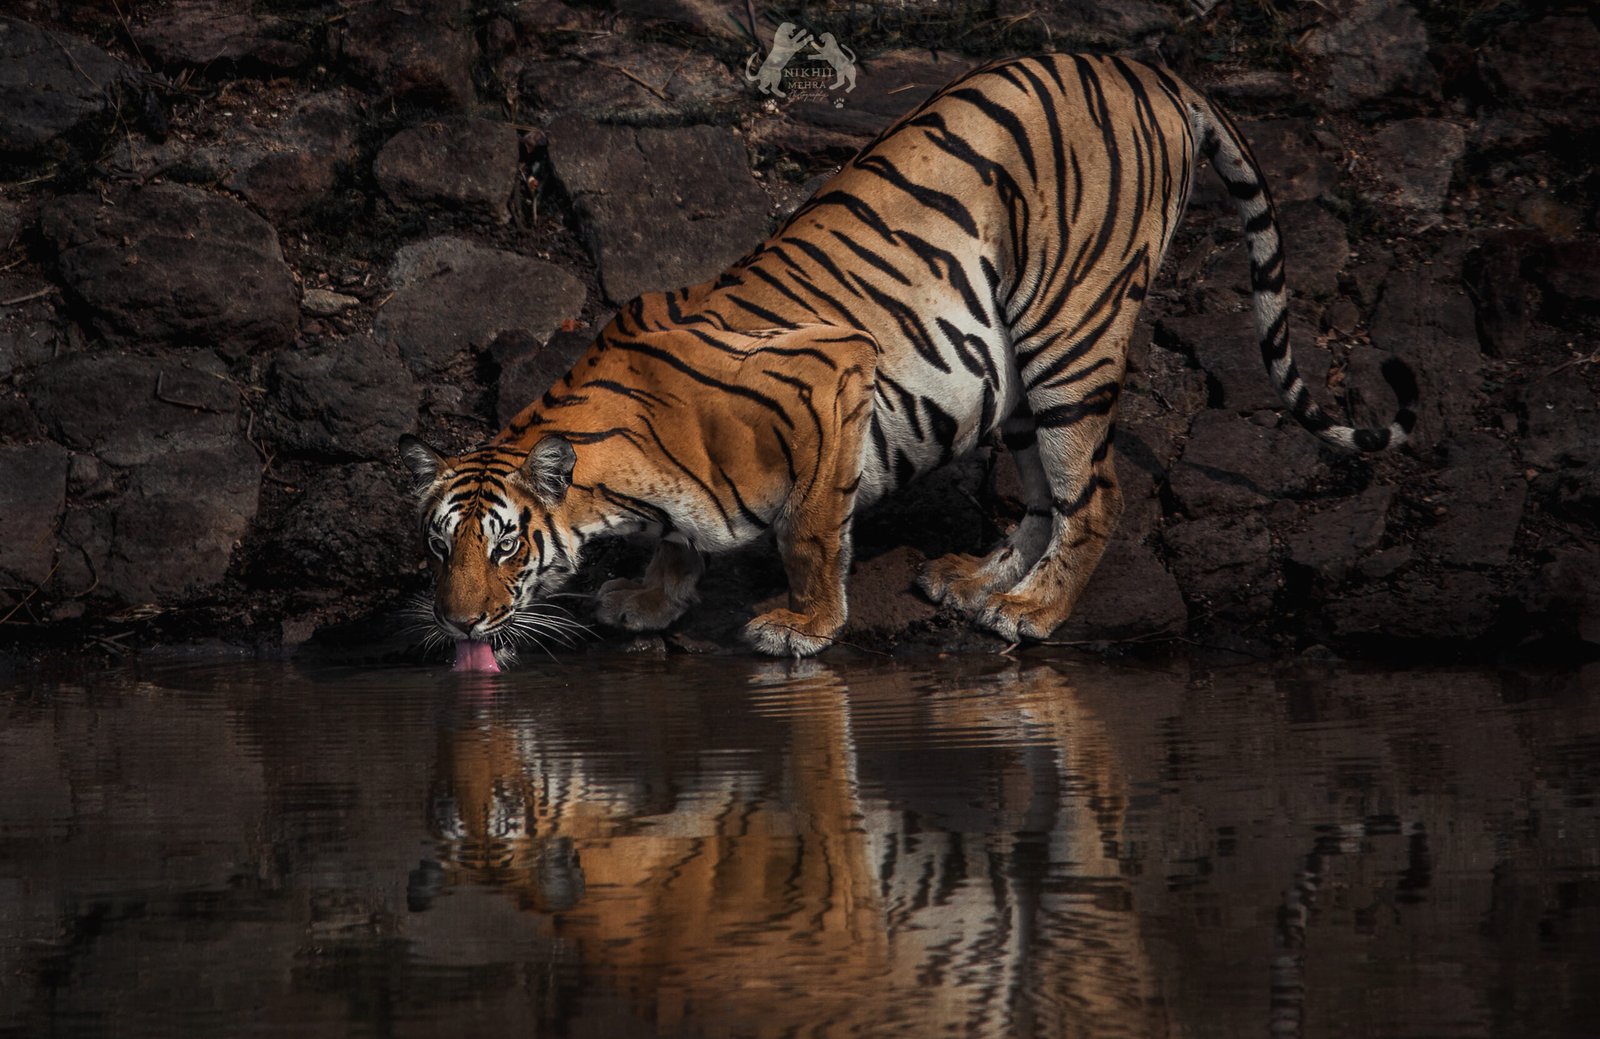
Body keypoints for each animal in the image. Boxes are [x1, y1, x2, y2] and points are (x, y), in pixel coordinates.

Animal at [398, 52, 1419, 662]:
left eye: (503, 544)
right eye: (438, 545)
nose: (456, 619)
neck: (621, 475)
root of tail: (1150, 67)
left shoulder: (831, 377)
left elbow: (810, 533)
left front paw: (804, 625)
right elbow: (684, 538)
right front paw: (652, 598)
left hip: (1071, 330)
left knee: (1095, 494)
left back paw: (1033, 612)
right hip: (1016, 368)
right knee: (1044, 497)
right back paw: (976, 582)